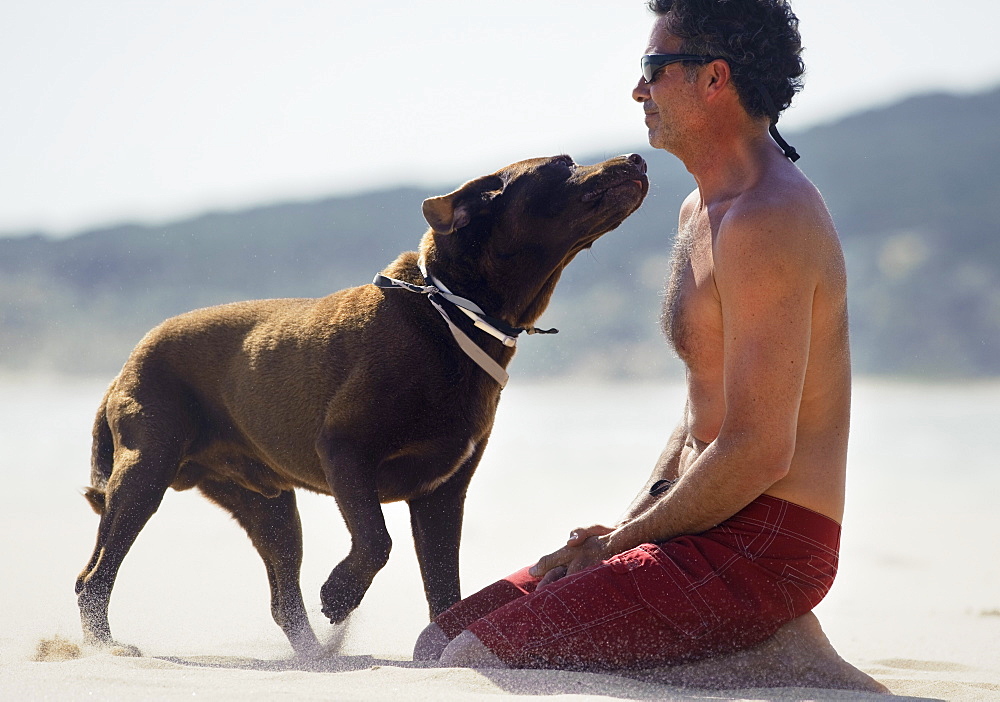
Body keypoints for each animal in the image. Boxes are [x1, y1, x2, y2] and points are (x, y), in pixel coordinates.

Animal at [76, 155, 648, 660]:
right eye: (562, 164)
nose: (638, 159)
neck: (452, 315)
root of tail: (127, 361)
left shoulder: (443, 493)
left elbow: (444, 588)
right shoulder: (345, 450)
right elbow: (376, 539)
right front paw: (340, 595)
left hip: (268, 505)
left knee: (283, 599)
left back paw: (319, 659)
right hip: (146, 469)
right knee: (94, 575)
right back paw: (107, 646)